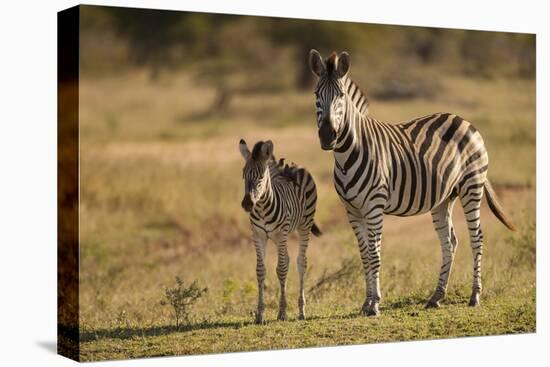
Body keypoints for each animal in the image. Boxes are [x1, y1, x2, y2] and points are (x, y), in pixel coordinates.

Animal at [238, 139, 324, 324]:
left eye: (261, 177)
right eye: (243, 175)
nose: (247, 204)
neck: (262, 208)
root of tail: (293, 165)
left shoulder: (280, 234)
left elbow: (282, 269)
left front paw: (283, 313)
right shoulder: (258, 235)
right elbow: (261, 270)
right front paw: (259, 315)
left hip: (304, 225)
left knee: (301, 262)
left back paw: (301, 311)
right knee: (290, 259)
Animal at [310, 50, 516, 318]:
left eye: (341, 96)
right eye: (316, 95)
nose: (327, 136)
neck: (347, 154)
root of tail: (463, 120)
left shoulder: (374, 207)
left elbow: (374, 254)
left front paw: (375, 304)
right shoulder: (352, 210)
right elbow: (364, 255)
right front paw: (366, 303)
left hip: (472, 186)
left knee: (477, 237)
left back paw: (474, 296)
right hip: (443, 198)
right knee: (449, 242)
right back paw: (436, 297)